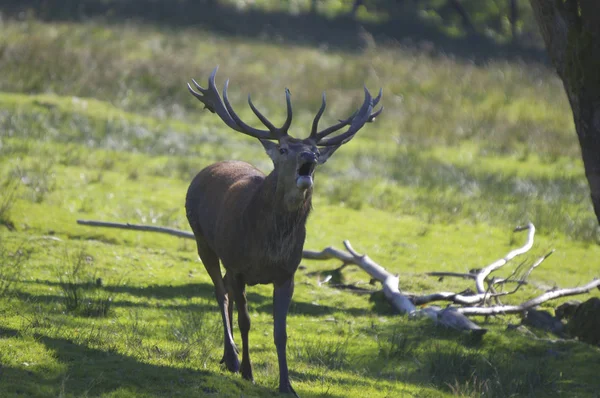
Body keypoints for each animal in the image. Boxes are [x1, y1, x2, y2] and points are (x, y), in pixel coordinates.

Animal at [185, 66, 382, 394]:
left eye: (315, 149)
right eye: (283, 148)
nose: (309, 159)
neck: (267, 248)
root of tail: (204, 171)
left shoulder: (287, 274)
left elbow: (281, 333)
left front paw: (286, 384)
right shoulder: (238, 267)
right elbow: (246, 320)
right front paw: (248, 372)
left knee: (224, 289)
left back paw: (228, 355)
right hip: (203, 240)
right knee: (220, 292)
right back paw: (232, 358)